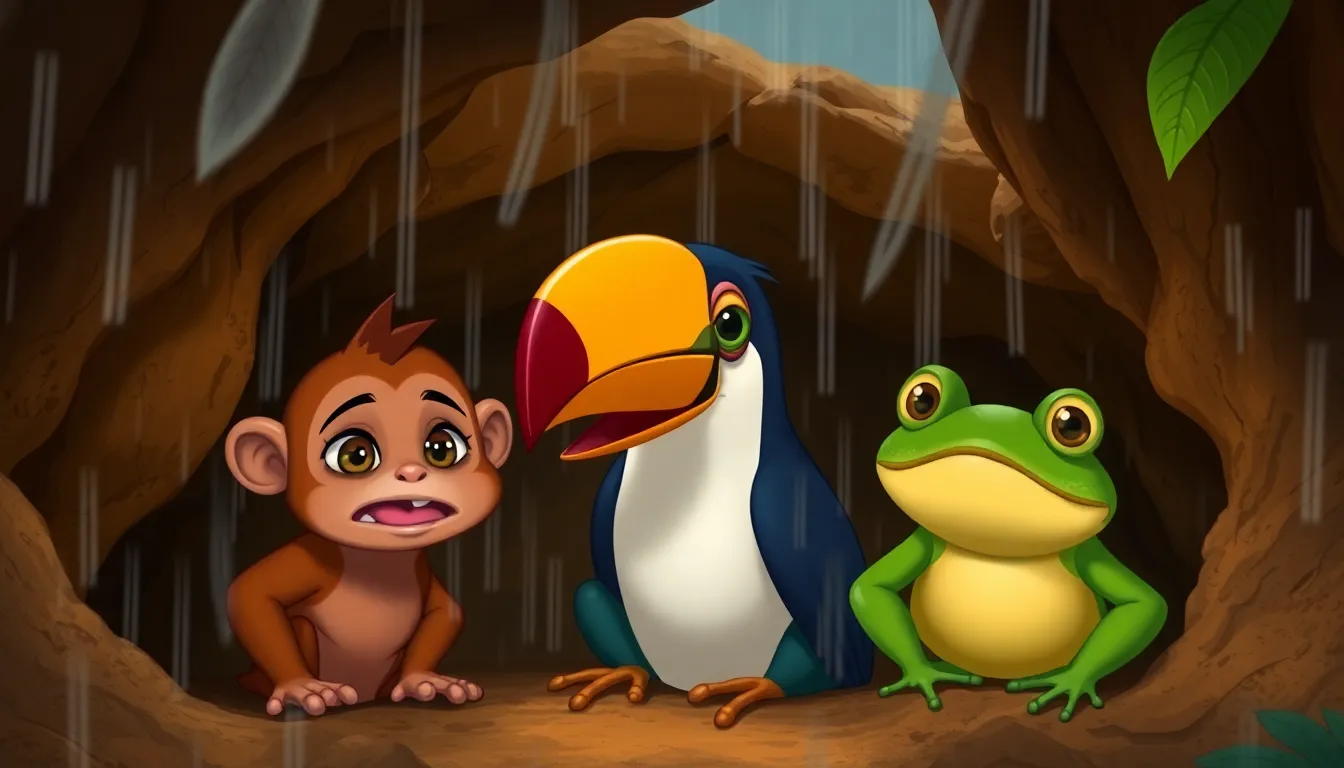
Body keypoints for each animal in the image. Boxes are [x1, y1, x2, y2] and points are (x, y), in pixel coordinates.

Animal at [223, 294, 513, 717]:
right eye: (355, 454)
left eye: (442, 446)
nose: (411, 473)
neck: (379, 561)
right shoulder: (314, 558)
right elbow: (249, 594)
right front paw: (299, 688)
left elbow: (448, 611)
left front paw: (424, 681)